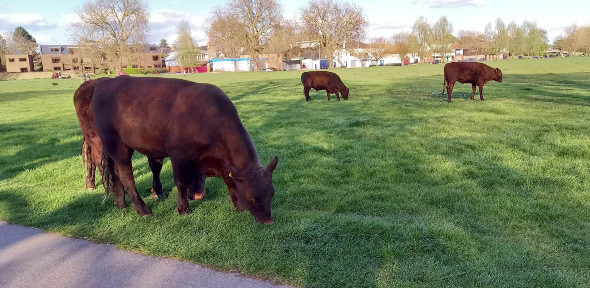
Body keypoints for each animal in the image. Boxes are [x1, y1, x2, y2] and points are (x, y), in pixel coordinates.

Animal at [91, 76, 280, 223]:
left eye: (272, 193)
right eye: (252, 196)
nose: (268, 220)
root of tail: (105, 83)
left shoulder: (222, 162)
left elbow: (229, 180)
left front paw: (239, 206)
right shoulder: (178, 155)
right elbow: (181, 182)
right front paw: (183, 208)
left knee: (115, 173)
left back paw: (120, 203)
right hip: (117, 145)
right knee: (126, 176)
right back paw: (142, 210)